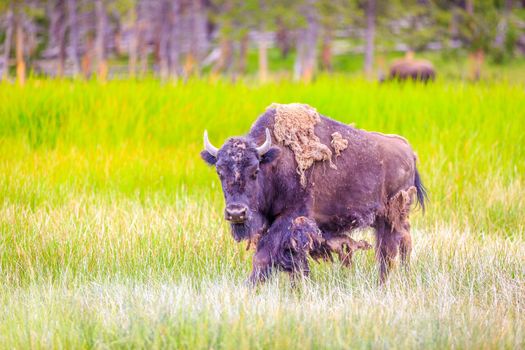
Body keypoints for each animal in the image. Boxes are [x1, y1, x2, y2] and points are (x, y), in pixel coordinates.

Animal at [201, 102, 426, 284]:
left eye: (255, 171)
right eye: (220, 172)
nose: (236, 213)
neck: (274, 162)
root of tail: (408, 150)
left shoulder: (289, 217)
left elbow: (264, 256)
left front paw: (250, 287)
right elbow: (294, 261)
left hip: (394, 216)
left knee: (398, 246)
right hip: (382, 220)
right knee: (387, 250)